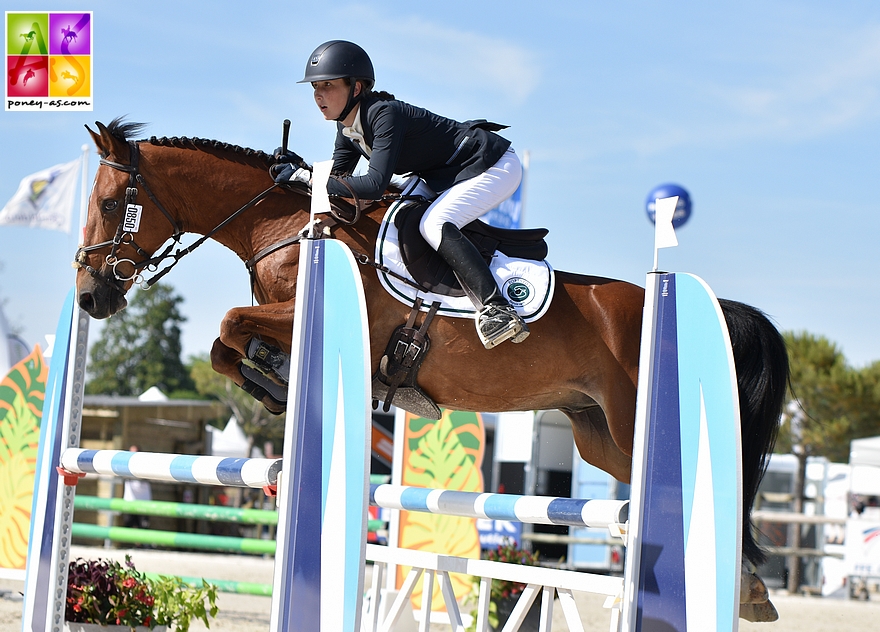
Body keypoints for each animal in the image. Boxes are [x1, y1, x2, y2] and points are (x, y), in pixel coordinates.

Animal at [75, 119, 788, 624]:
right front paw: (271, 382)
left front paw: (272, 377)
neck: (285, 224)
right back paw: (750, 591)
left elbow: (227, 324)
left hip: (629, 415)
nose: (89, 298)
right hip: (598, 434)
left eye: (110, 205)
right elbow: (226, 345)